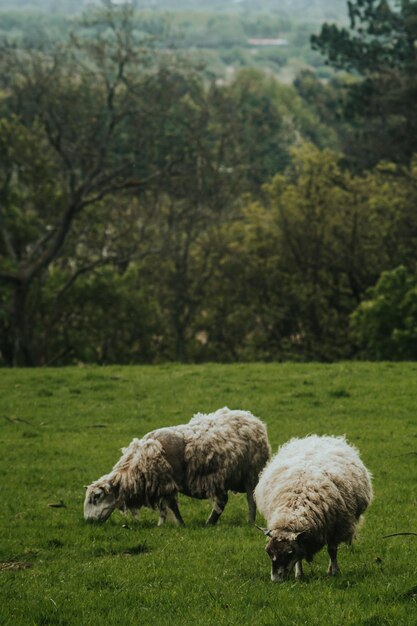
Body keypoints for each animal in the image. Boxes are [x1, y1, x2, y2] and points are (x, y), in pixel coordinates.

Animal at [83, 408, 272, 524]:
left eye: (96, 497)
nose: (88, 521)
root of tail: (252, 419)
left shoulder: (166, 484)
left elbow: (172, 506)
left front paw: (180, 524)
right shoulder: (160, 487)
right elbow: (165, 508)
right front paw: (163, 524)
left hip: (251, 473)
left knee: (251, 500)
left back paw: (250, 522)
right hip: (220, 478)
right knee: (221, 501)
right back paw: (210, 522)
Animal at [252, 434, 372, 580]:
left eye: (289, 553)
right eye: (269, 552)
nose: (276, 579)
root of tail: (318, 437)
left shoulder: (336, 527)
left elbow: (332, 551)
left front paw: (334, 572)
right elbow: (300, 555)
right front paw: (299, 575)